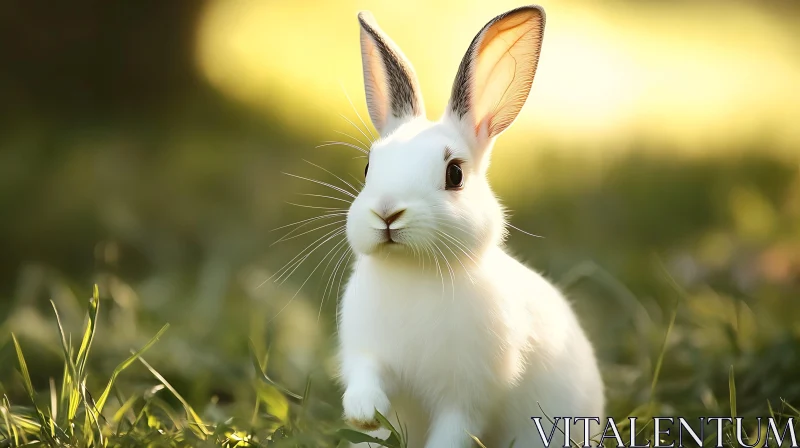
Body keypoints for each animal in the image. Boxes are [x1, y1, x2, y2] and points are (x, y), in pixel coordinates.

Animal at [338, 6, 608, 448]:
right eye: (367, 167)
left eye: (455, 174)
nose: (387, 213)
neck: (415, 271)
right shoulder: (366, 353)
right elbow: (366, 378)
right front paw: (363, 414)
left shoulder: (468, 398)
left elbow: (452, 431)